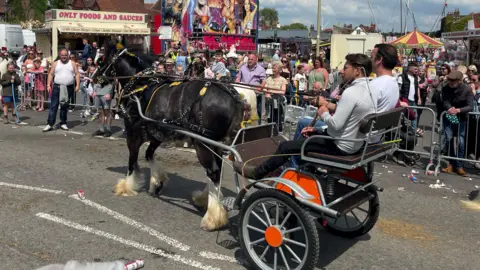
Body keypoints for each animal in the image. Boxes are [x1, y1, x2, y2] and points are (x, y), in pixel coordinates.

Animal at [100, 43, 244, 231]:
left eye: (103, 59)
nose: (96, 77)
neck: (141, 86)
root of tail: (232, 96)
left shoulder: (132, 132)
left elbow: (132, 161)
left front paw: (125, 186)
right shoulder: (156, 133)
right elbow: (148, 155)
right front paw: (157, 182)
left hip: (202, 143)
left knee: (213, 172)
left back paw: (212, 217)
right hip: (217, 145)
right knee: (216, 172)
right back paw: (204, 199)